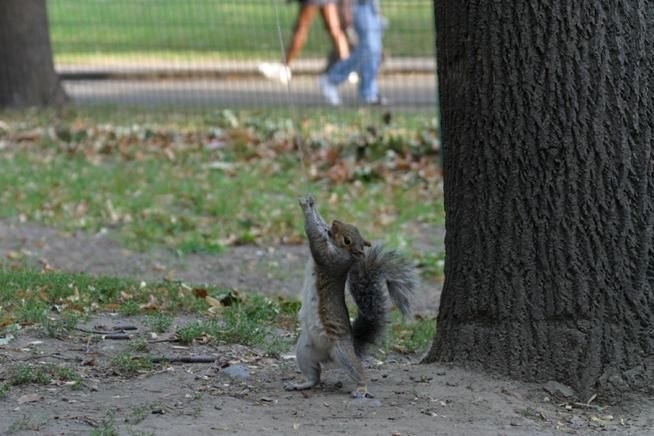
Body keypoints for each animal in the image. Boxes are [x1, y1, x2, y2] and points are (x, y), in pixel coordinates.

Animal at [284, 194, 418, 398]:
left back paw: (361, 388)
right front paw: (312, 205)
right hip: (305, 350)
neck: (345, 254)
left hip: (342, 351)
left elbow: (315, 237)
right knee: (314, 376)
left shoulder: (330, 259)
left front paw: (307, 208)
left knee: (359, 372)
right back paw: (302, 384)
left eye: (347, 240)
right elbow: (318, 228)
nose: (335, 222)